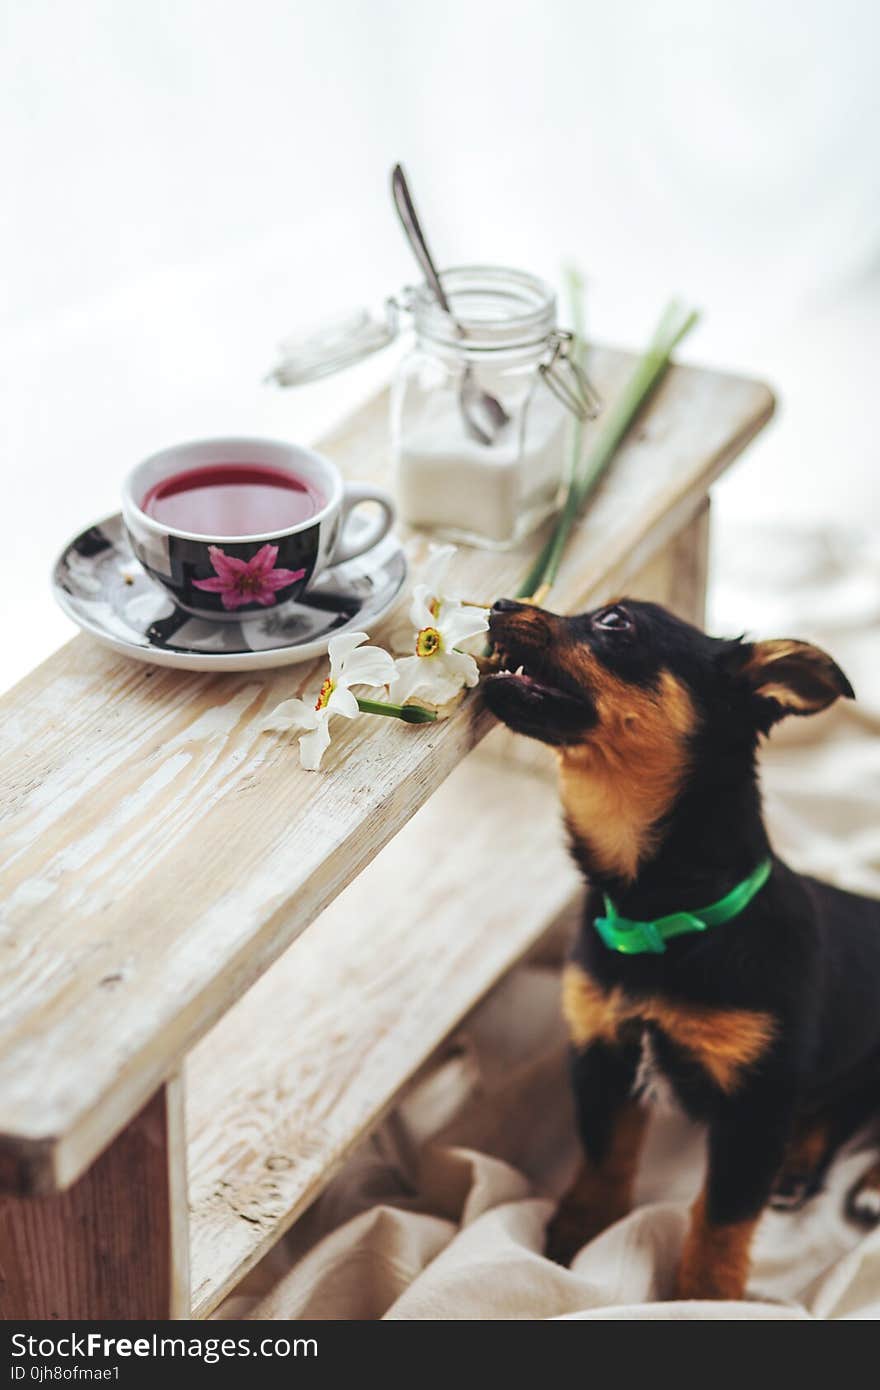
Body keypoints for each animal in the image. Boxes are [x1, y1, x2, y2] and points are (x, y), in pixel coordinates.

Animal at [483, 597, 873, 1301]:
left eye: (615, 623)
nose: (500, 603)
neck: (661, 915)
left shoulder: (755, 1103)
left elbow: (722, 1214)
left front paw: (704, 1296)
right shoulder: (603, 1052)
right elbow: (605, 1154)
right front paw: (578, 1232)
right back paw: (800, 1163)